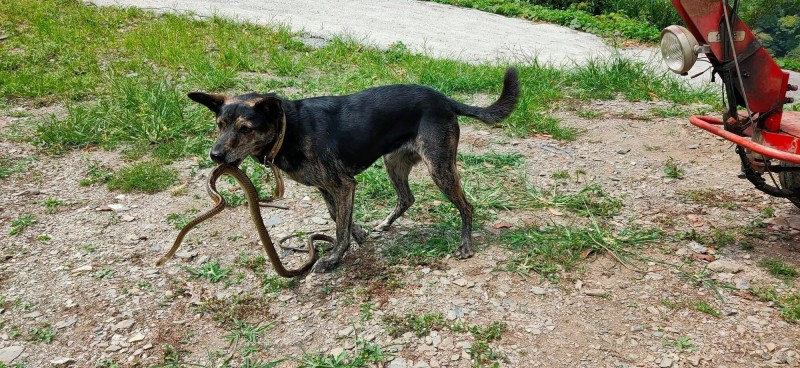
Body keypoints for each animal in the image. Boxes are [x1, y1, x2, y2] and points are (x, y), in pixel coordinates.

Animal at [191, 67, 520, 272]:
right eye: (219, 125)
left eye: (245, 129)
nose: (215, 155)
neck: (290, 128)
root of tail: (444, 99)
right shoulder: (327, 188)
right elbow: (339, 218)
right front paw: (358, 235)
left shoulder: (343, 184)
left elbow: (340, 225)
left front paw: (334, 257)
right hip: (394, 162)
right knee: (407, 198)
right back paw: (385, 223)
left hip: (438, 166)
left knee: (466, 205)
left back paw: (465, 244)